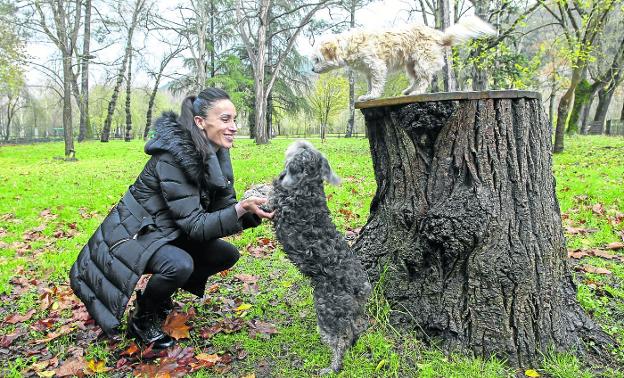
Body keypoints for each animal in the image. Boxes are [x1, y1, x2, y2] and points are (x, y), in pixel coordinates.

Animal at [312, 16, 498, 100]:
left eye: (317, 59)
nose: (312, 69)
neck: (348, 45)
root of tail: (439, 36)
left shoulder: (376, 67)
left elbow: (376, 85)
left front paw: (372, 96)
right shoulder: (368, 71)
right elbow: (371, 84)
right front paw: (368, 95)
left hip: (422, 61)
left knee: (424, 80)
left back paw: (416, 92)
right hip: (411, 65)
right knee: (417, 79)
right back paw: (408, 91)